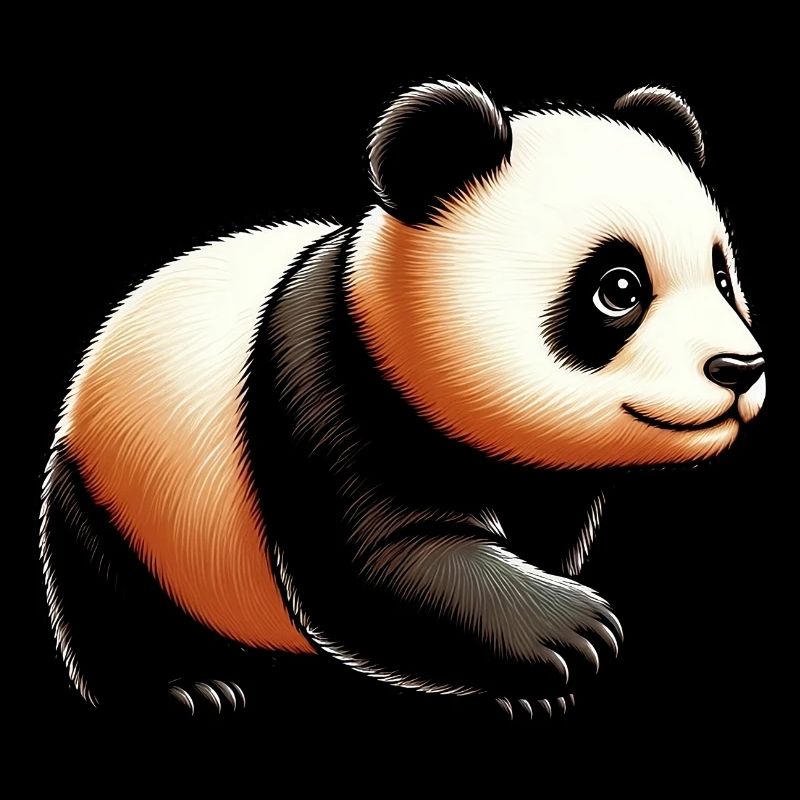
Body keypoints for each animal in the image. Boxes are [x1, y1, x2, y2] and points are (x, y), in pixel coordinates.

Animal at [40, 80, 766, 718]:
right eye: (618, 288)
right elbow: (379, 564)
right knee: (107, 589)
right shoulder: (331, 386)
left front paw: (532, 685)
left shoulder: (548, 482)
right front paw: (571, 627)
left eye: (723, 277)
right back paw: (183, 687)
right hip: (122, 491)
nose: (739, 367)